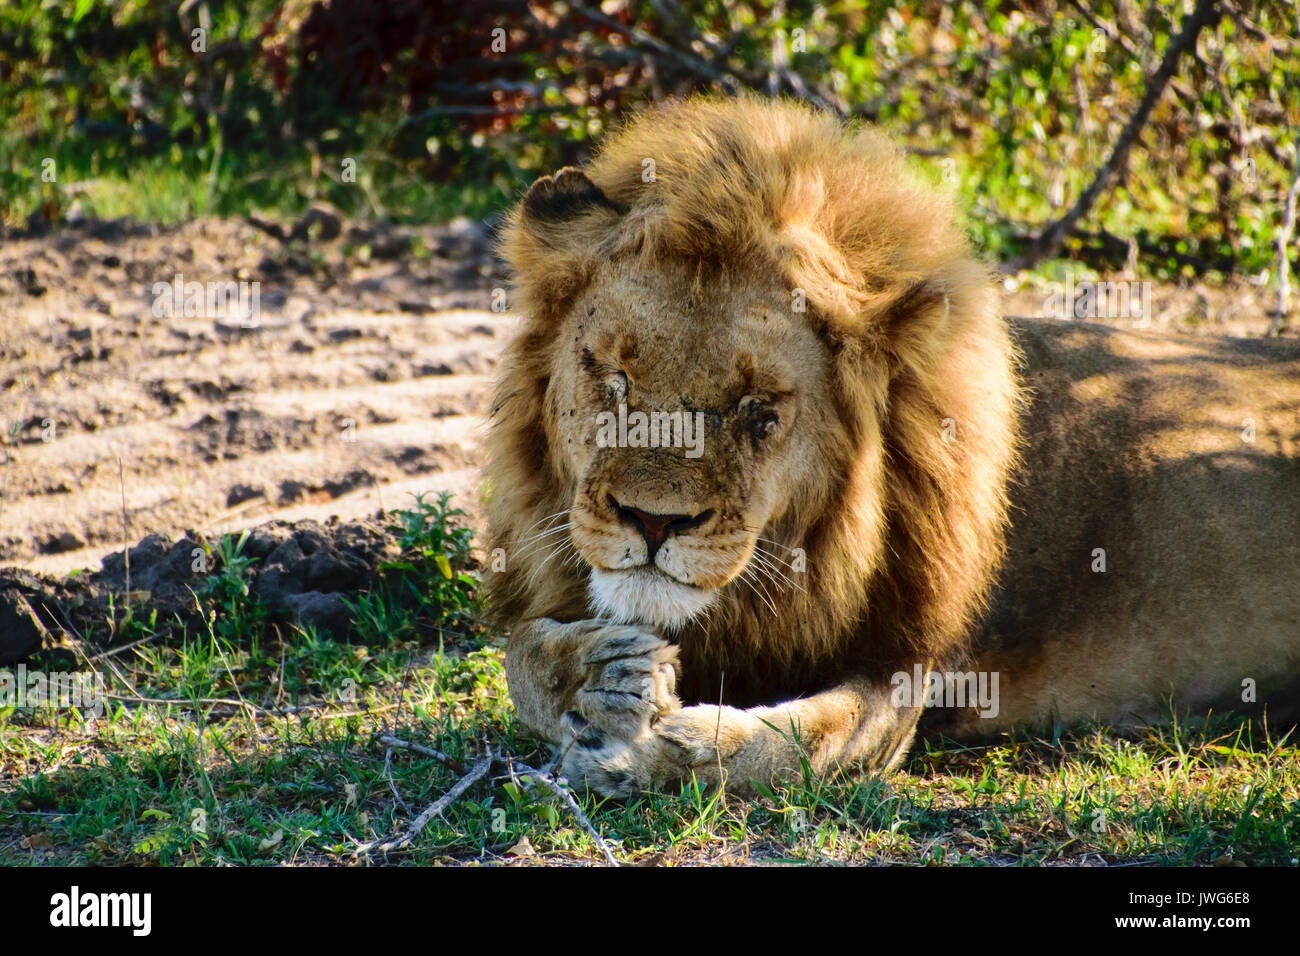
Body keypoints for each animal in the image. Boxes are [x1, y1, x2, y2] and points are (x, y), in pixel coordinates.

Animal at [480, 93, 1300, 796]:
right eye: (613, 377)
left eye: (758, 409)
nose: (652, 521)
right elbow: (519, 653)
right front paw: (597, 673)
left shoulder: (910, 670)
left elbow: (787, 747)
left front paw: (640, 756)